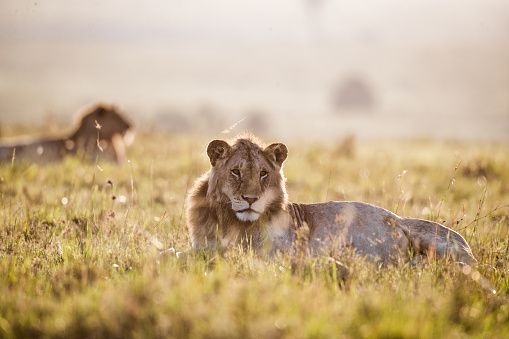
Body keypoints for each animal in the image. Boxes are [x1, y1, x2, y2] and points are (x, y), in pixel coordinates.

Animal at [187, 134, 476, 266]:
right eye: (236, 171)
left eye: (263, 173)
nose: (250, 199)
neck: (230, 221)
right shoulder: (202, 245)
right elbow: (185, 254)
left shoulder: (274, 256)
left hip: (432, 238)